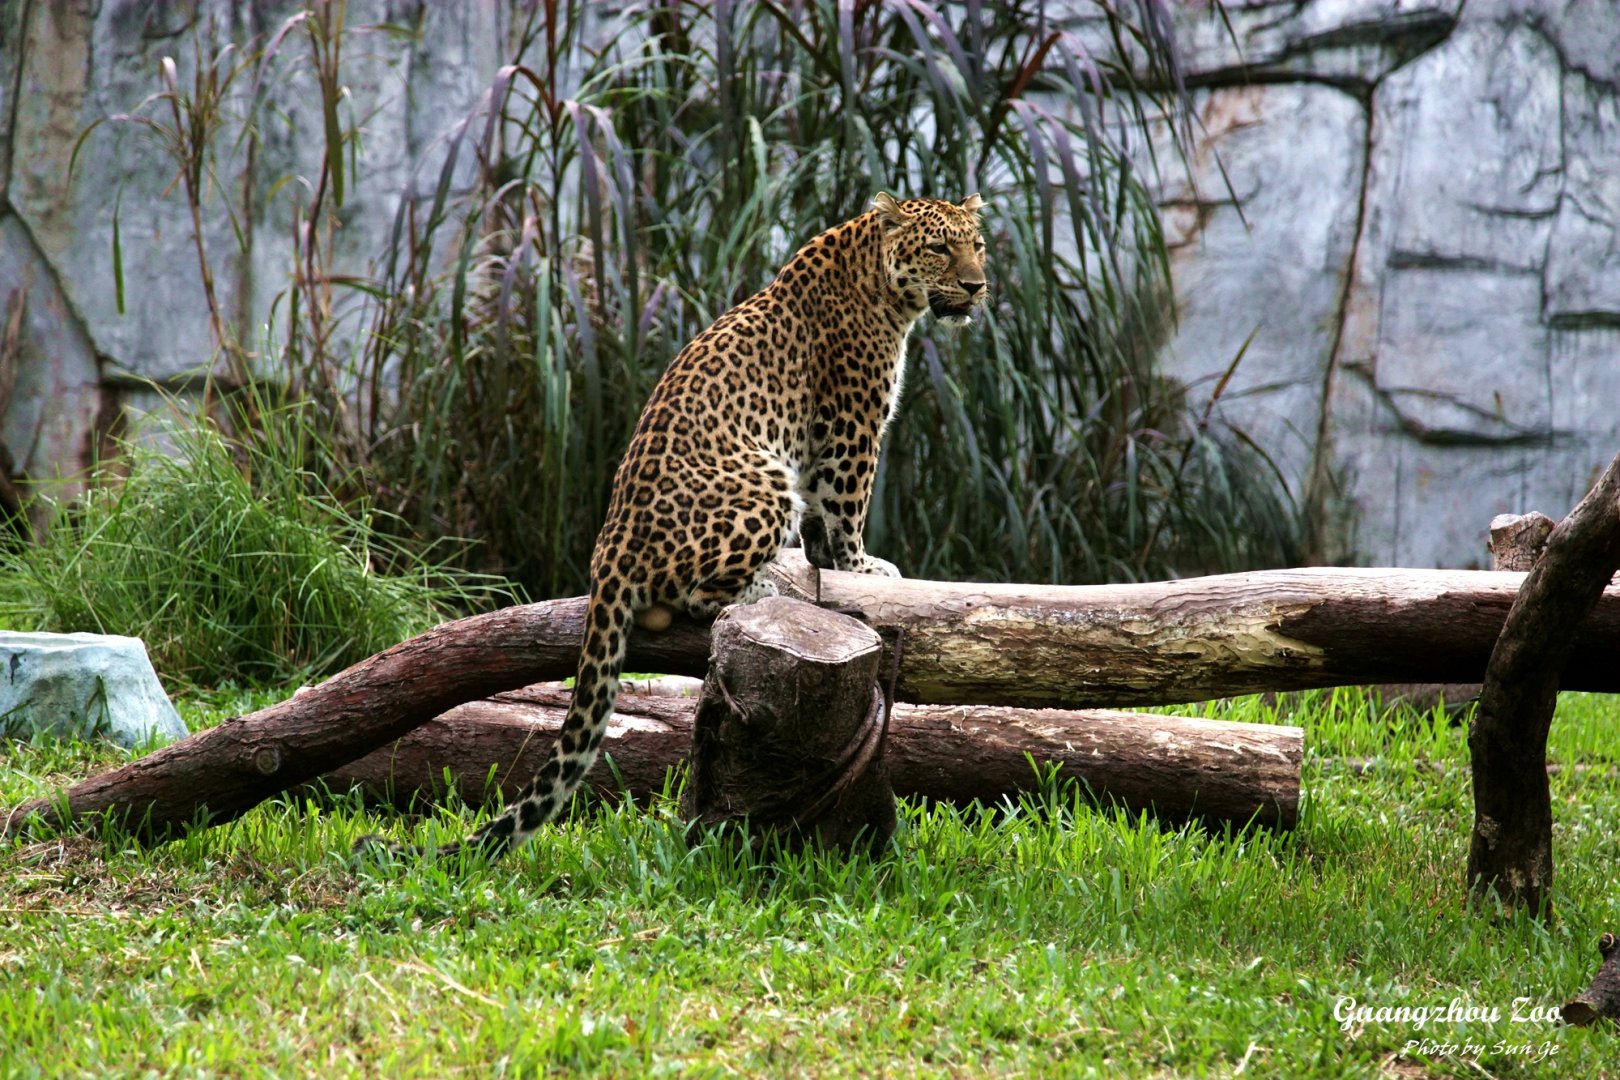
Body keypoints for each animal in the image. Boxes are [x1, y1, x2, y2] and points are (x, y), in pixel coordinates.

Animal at [365, 192, 988, 860]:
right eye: (938, 247)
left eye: (977, 245)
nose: (977, 286)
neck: (882, 284)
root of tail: (607, 552)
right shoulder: (850, 426)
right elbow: (845, 507)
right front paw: (860, 566)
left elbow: (824, 523)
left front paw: (829, 562)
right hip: (765, 481)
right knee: (693, 596)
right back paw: (764, 587)